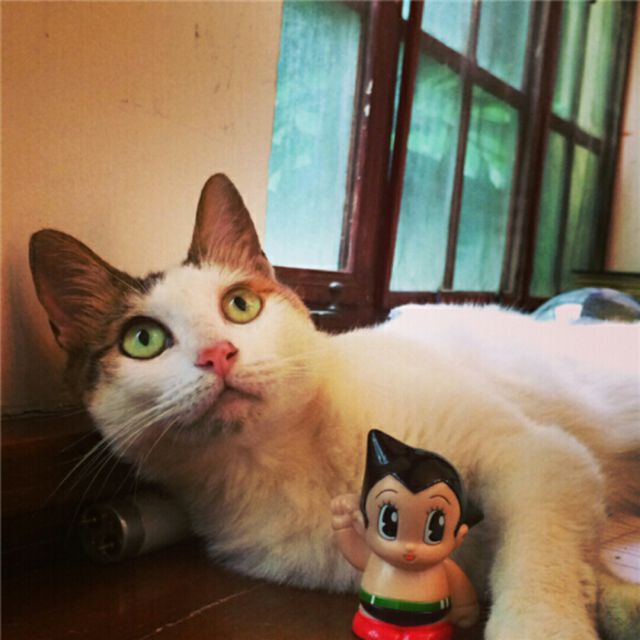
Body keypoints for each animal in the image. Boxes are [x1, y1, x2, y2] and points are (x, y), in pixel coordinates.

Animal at [30, 174, 640, 640]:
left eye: (240, 305)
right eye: (143, 340)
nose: (217, 354)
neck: (285, 461)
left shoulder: (543, 459)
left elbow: (538, 559)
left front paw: (542, 625)